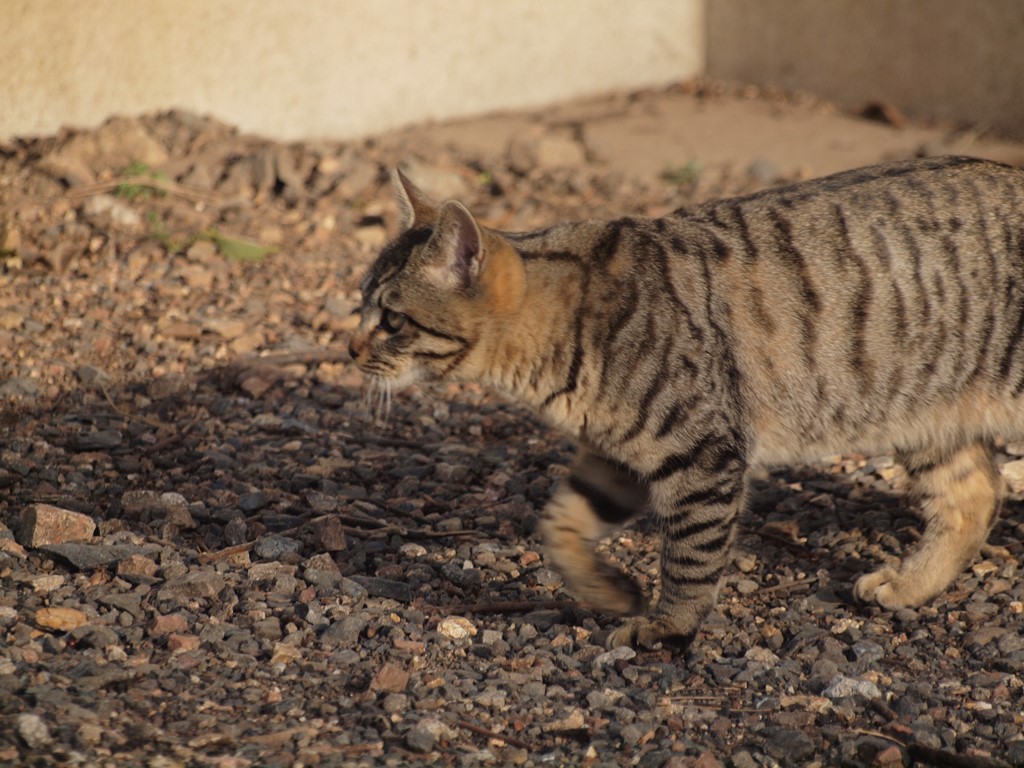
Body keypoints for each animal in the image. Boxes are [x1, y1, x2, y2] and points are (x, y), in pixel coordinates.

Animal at [348, 157, 1024, 651]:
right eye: (359, 305)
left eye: (390, 320)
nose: (349, 348)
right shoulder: (615, 454)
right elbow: (559, 525)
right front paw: (610, 592)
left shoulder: (702, 451)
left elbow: (691, 556)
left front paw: (668, 624)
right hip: (925, 416)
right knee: (975, 493)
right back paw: (910, 584)